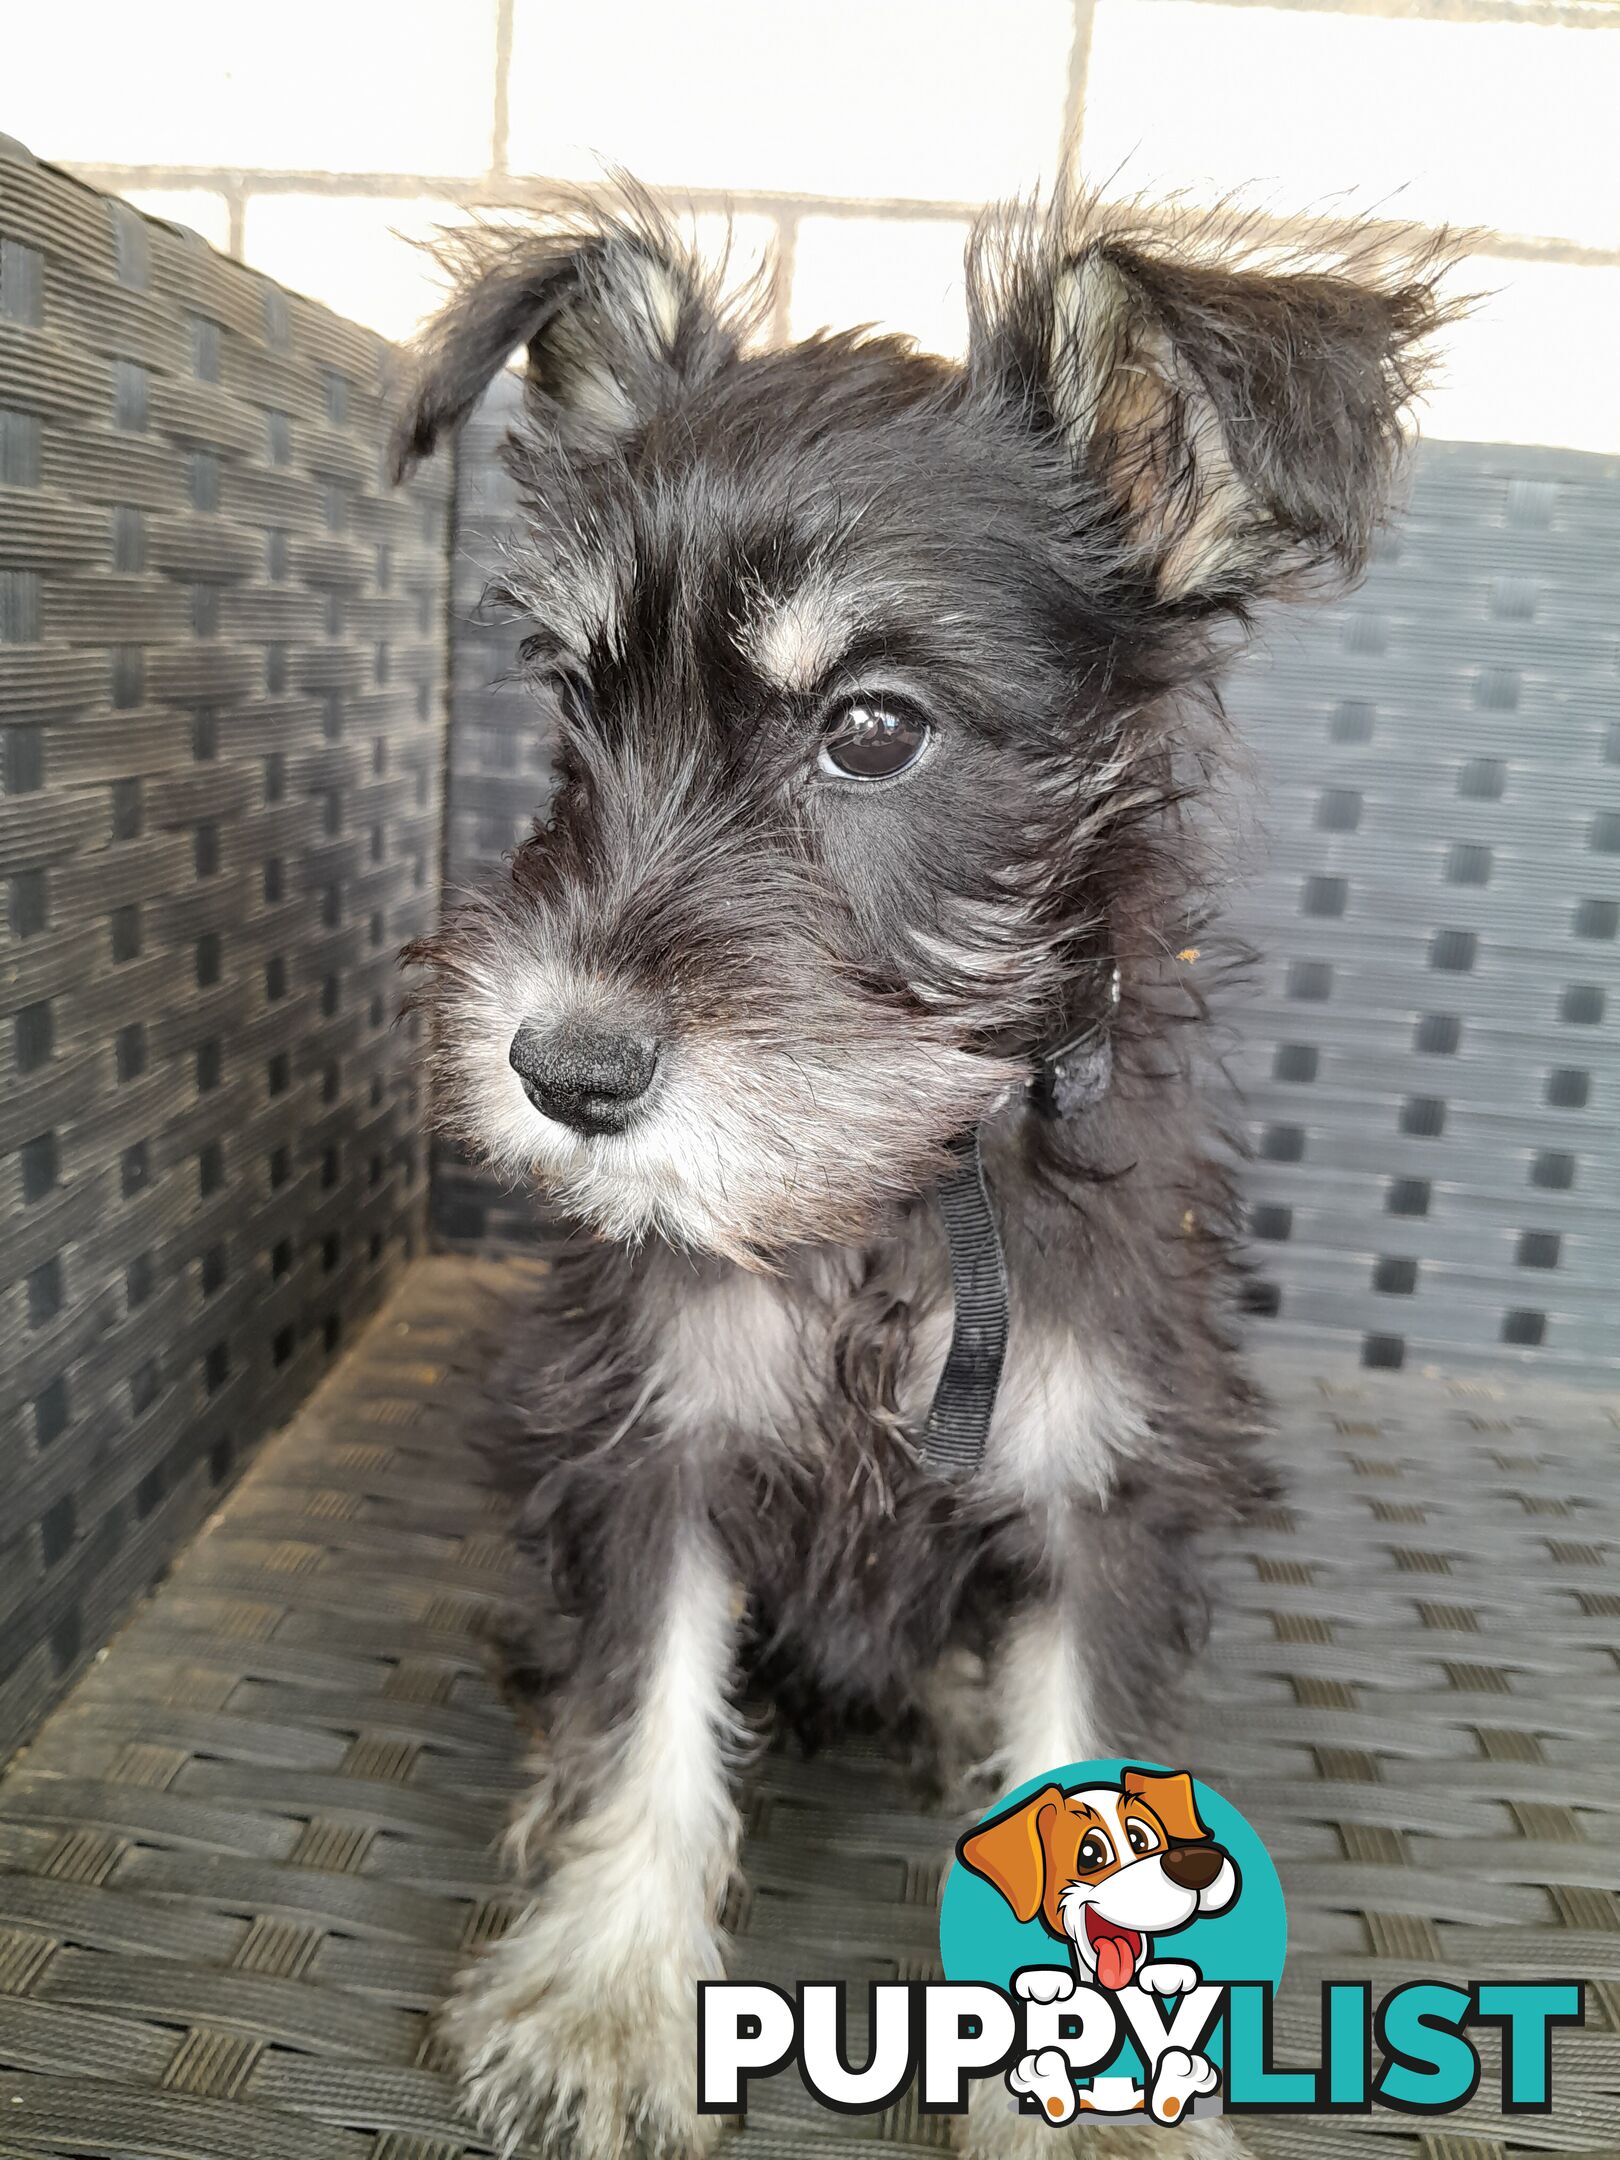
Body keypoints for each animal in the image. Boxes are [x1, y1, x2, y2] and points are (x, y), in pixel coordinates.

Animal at [397, 185, 1460, 2160]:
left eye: (875, 726)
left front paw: (1114, 2106)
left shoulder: (1103, 1480)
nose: (559, 1069)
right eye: (577, 701)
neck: (893, 1192)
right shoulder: (655, 1438)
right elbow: (646, 1706)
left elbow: (1082, 1731)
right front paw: (605, 2003)